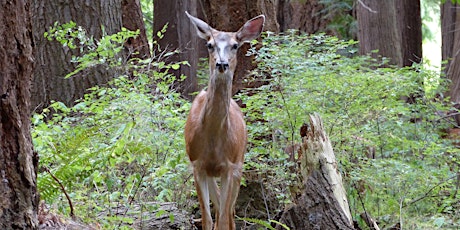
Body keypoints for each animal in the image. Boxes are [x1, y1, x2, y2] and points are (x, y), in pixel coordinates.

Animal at [182, 11, 262, 230]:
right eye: (210, 44)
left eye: (235, 45)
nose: (222, 64)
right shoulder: (197, 165)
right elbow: (207, 218)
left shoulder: (230, 167)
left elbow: (225, 218)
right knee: (218, 209)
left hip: (240, 163)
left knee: (230, 213)